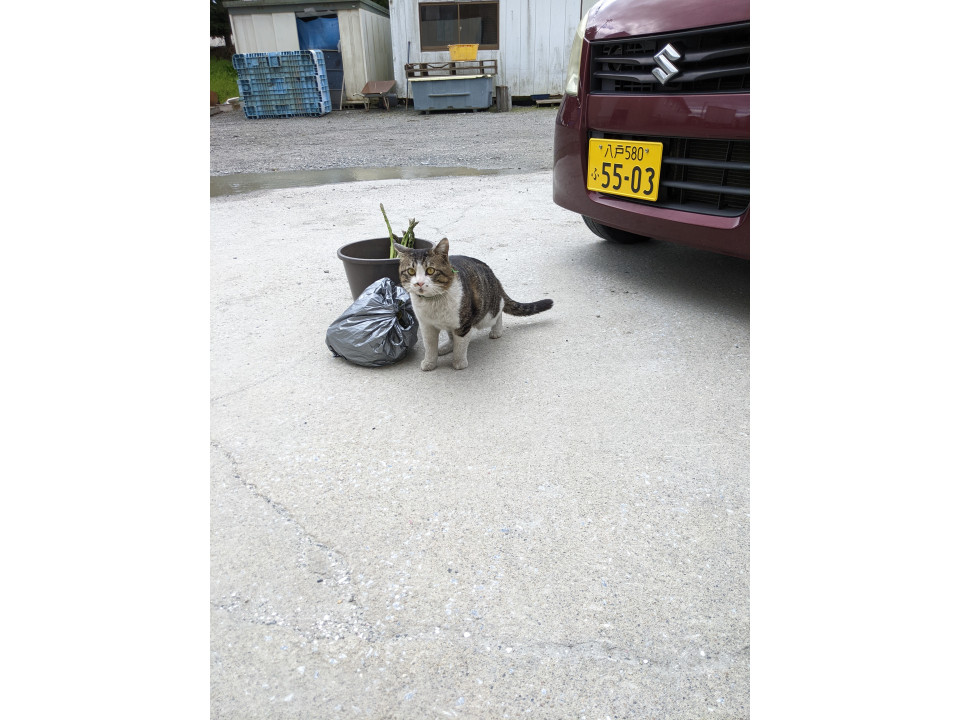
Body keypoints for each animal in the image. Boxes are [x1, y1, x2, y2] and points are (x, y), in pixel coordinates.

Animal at [394, 238, 553, 371]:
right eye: (411, 271)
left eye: (430, 270)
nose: (419, 283)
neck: (433, 302)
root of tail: (494, 277)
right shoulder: (427, 326)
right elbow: (430, 346)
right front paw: (430, 363)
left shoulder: (464, 324)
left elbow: (460, 346)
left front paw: (459, 363)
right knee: (451, 335)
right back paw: (446, 347)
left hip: (485, 315)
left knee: (499, 308)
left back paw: (497, 331)